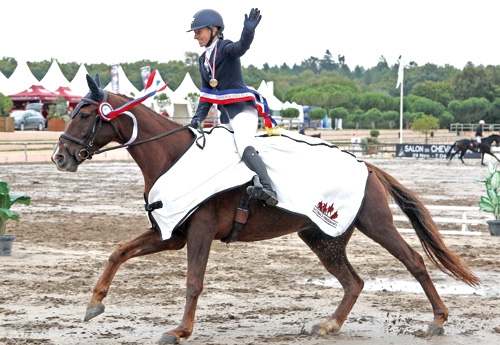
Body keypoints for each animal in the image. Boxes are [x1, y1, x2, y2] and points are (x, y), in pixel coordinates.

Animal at [50, 74, 480, 342]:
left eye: (85, 114)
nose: (59, 157)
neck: (173, 156)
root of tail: (367, 166)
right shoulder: (170, 233)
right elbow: (118, 252)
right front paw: (94, 304)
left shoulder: (200, 232)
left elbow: (193, 282)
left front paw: (179, 331)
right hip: (322, 237)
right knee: (352, 281)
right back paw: (330, 325)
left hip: (376, 224)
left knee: (414, 262)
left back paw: (438, 320)